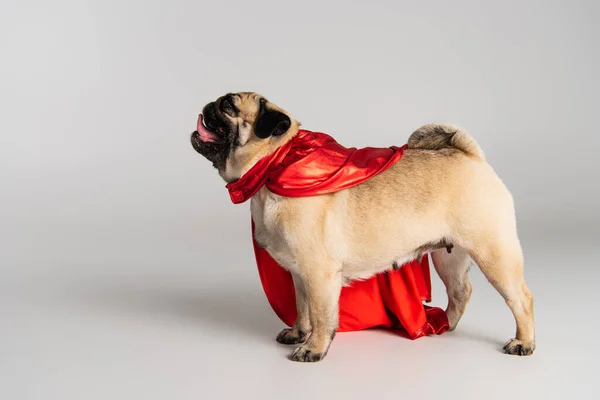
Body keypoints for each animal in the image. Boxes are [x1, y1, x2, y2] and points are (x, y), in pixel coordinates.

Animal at [189, 93, 536, 362]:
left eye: (228, 106)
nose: (209, 105)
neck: (275, 166)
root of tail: (470, 155)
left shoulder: (319, 274)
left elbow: (321, 314)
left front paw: (314, 348)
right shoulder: (299, 274)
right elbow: (302, 308)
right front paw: (298, 333)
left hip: (493, 252)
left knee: (521, 298)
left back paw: (523, 342)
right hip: (449, 256)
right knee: (461, 291)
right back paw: (444, 325)